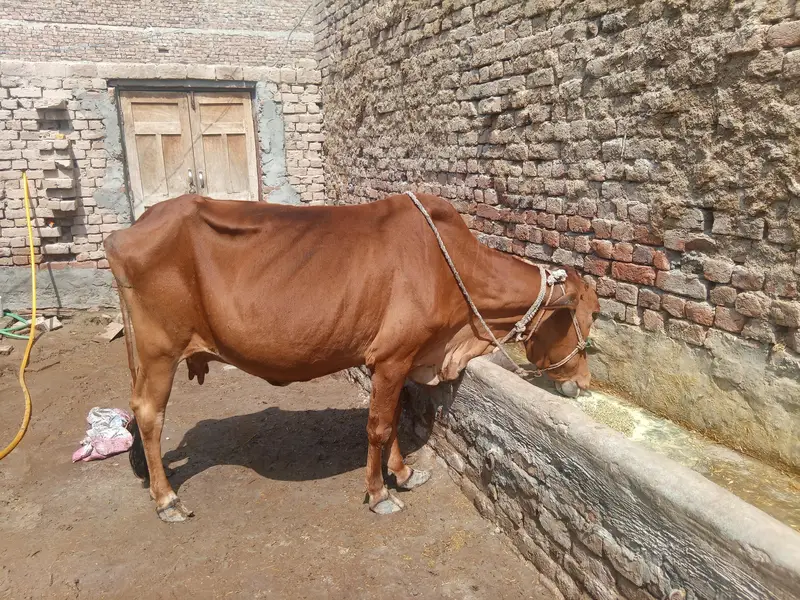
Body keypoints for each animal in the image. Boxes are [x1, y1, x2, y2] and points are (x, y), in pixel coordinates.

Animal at [104, 192, 600, 522]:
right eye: (591, 315)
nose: (585, 382)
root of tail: (130, 227)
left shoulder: (402, 360)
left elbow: (396, 417)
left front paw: (403, 472)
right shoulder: (393, 356)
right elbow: (378, 426)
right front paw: (379, 493)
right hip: (159, 351)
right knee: (149, 415)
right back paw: (167, 499)